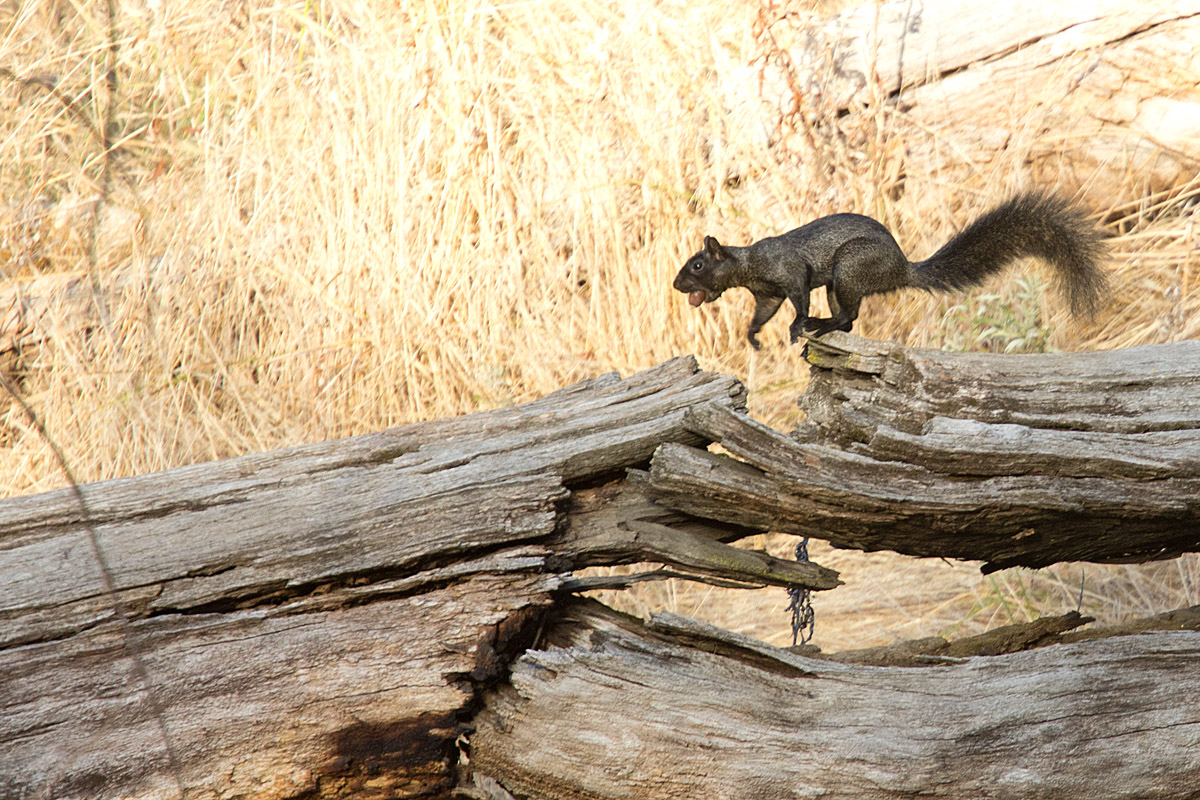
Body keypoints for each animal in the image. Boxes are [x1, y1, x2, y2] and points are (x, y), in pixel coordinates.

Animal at [673, 192, 1109, 348]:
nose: (677, 285)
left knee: (848, 316)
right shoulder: (766, 295)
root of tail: (902, 270)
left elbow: (797, 298)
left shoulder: (791, 271)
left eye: (697, 264)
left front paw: (796, 326)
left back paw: (817, 325)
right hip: (839, 283)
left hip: (850, 267)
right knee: (849, 319)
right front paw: (753, 336)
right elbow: (763, 314)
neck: (750, 266)